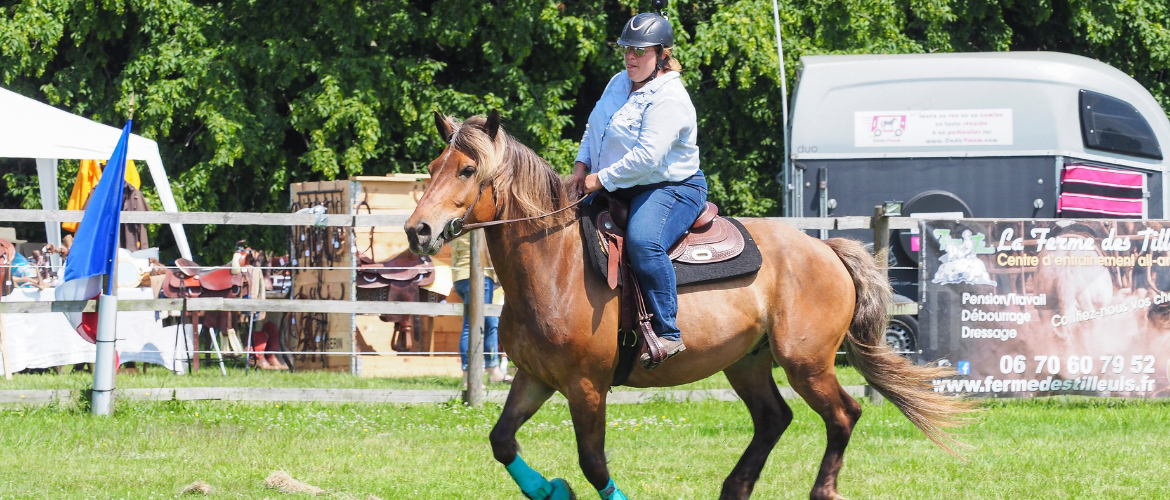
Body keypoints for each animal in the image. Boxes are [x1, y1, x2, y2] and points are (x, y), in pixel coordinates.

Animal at [404, 109, 968, 500]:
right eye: (433, 166)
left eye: (468, 169)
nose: (418, 230)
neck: (554, 264)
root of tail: (825, 249)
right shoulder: (536, 377)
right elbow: (502, 440)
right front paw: (549, 489)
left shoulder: (586, 386)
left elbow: (594, 463)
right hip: (748, 362)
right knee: (773, 419)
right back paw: (734, 488)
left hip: (806, 361)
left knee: (843, 414)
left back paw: (822, 490)